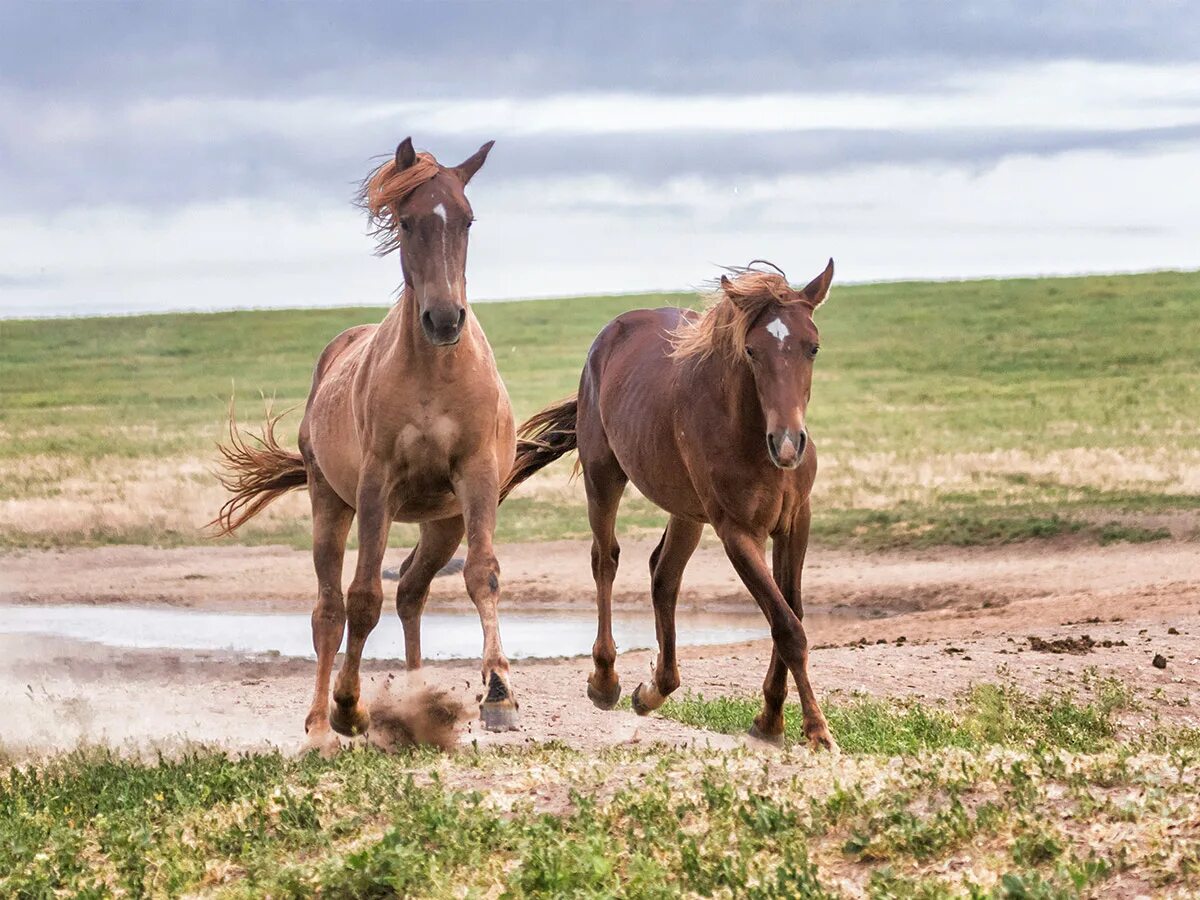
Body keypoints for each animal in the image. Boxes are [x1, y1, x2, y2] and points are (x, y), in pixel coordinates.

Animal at [214, 137, 520, 748]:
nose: (444, 319)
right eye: (405, 221)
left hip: (442, 522)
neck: (434, 373)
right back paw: (320, 726)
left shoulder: (475, 478)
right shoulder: (378, 485)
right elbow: (361, 599)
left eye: (468, 219)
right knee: (330, 611)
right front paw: (348, 707)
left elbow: (482, 574)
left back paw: (418, 697)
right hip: (330, 503)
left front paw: (499, 693)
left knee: (410, 592)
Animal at [504, 262, 835, 753]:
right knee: (606, 561)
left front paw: (771, 718)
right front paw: (816, 730)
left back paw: (655, 689)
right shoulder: (737, 532)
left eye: (812, 347)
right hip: (604, 477)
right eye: (752, 350)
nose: (789, 443)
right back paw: (606, 681)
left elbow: (789, 612)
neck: (749, 434)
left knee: (664, 576)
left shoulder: (796, 523)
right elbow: (787, 626)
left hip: (686, 512)